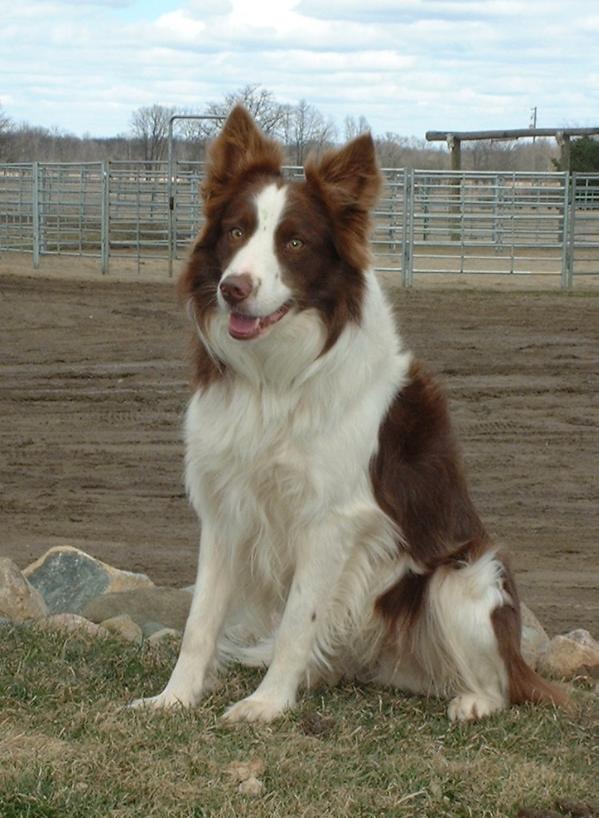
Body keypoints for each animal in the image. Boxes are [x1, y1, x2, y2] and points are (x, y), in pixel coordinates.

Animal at [132, 103, 568, 720]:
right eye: (236, 231)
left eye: (294, 242)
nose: (233, 288)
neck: (276, 377)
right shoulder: (224, 508)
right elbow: (201, 620)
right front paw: (175, 697)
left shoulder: (331, 520)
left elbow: (298, 620)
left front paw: (266, 706)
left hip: (466, 576)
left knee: (503, 685)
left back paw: (472, 702)